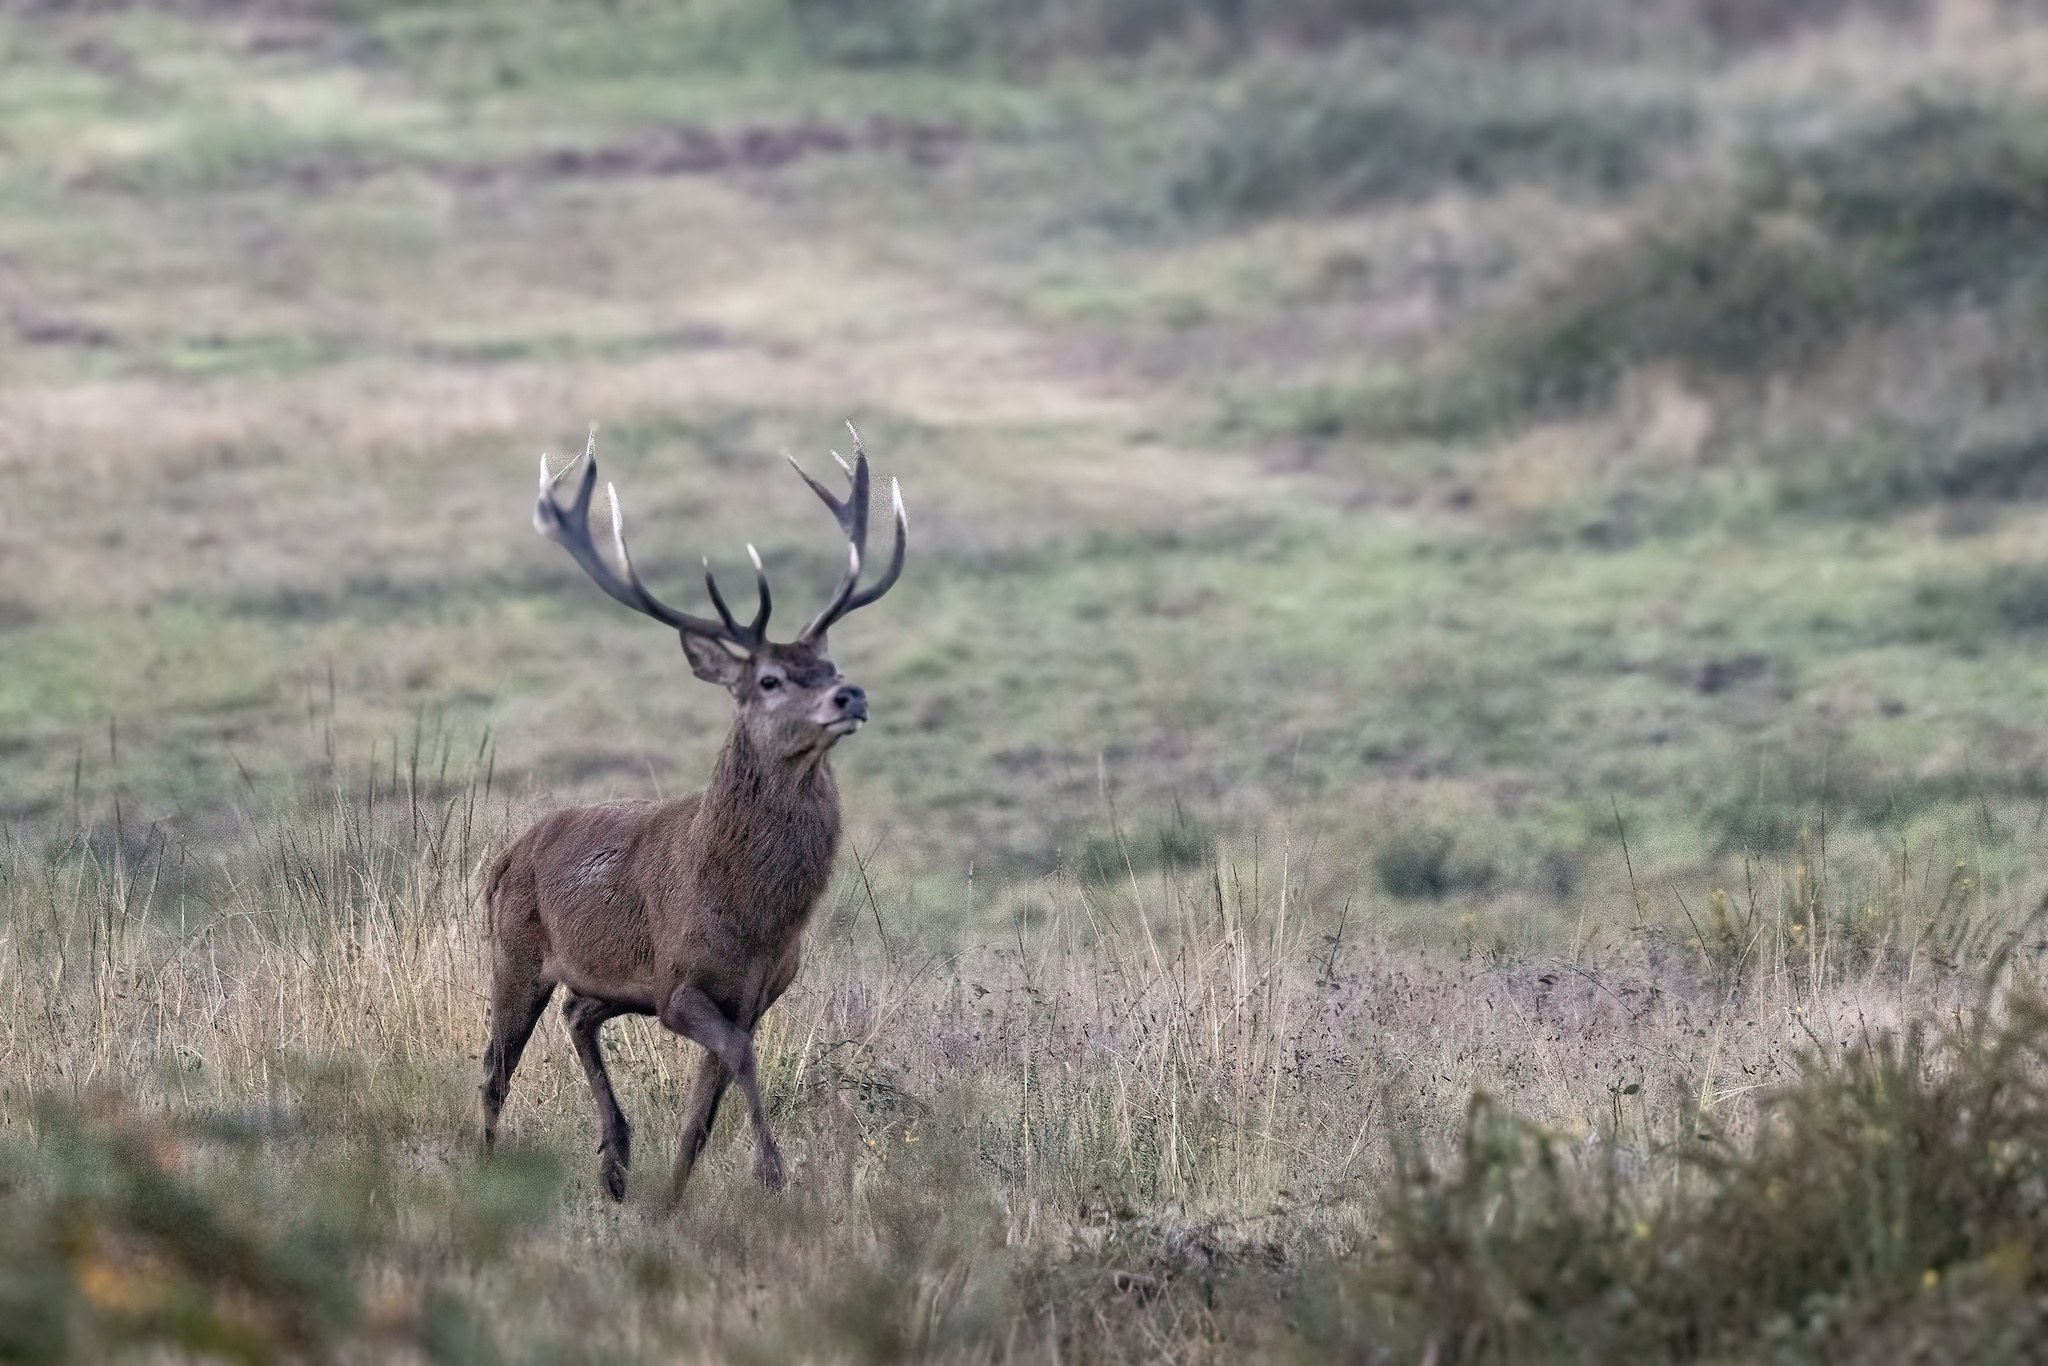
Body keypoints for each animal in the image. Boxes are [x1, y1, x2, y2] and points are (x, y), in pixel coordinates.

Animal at [481, 422, 907, 1205]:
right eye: (767, 679)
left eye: (830, 668)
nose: (851, 694)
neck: (754, 918)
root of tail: (504, 855)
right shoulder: (680, 983)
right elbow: (736, 1060)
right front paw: (771, 1170)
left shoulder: (755, 993)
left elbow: (701, 1116)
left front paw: (674, 1201)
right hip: (514, 952)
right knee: (495, 1069)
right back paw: (489, 1165)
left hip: (607, 983)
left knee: (577, 1014)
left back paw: (616, 1159)